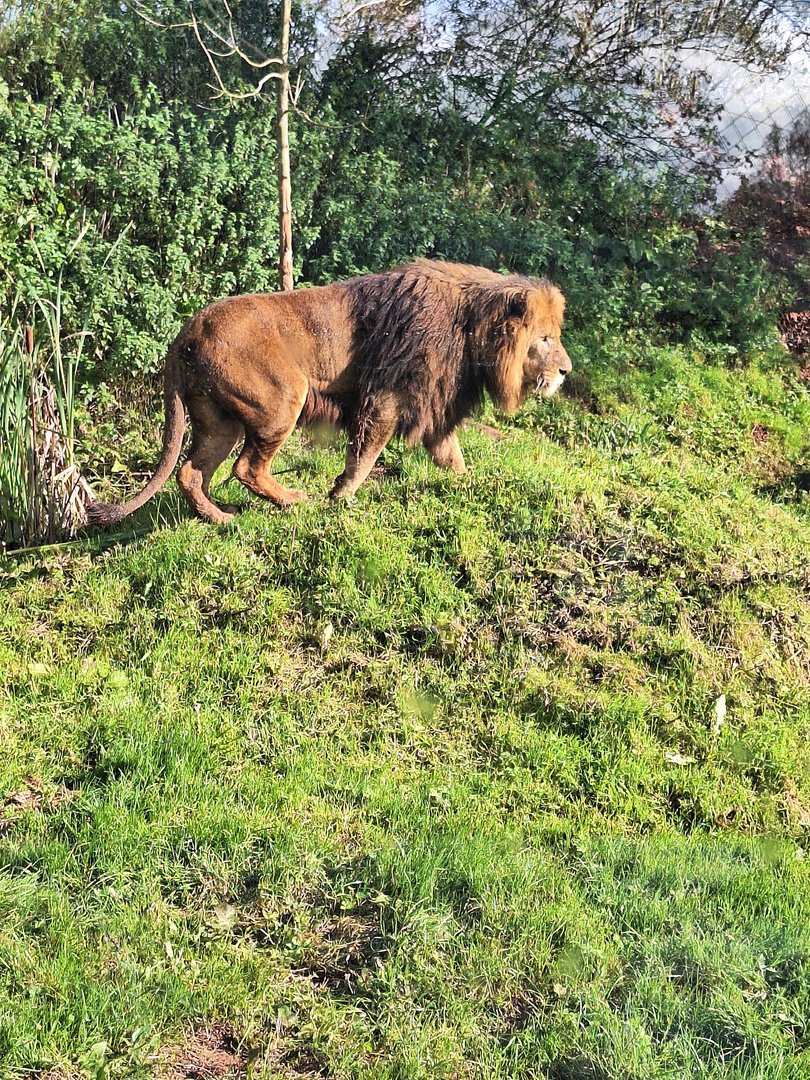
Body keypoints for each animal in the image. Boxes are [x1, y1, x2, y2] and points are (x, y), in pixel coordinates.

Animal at [87, 259, 571, 527]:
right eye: (544, 338)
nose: (566, 371)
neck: (473, 329)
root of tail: (187, 330)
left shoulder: (434, 405)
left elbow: (452, 457)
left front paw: (469, 484)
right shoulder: (386, 395)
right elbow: (367, 452)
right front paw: (341, 496)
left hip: (218, 420)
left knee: (191, 473)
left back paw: (220, 517)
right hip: (284, 397)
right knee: (246, 468)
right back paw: (290, 501)